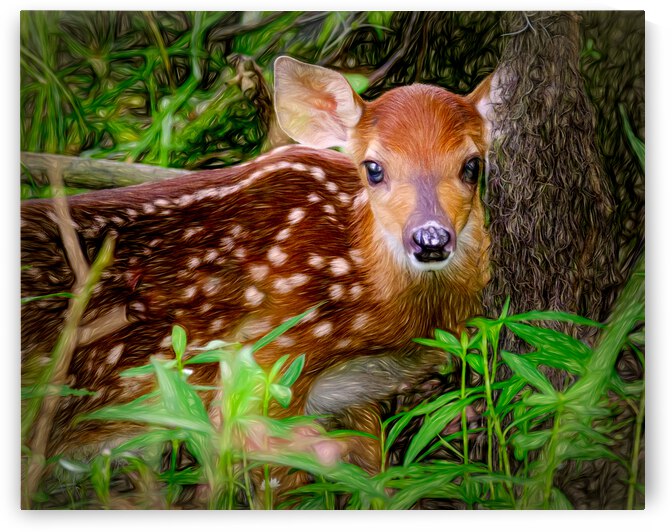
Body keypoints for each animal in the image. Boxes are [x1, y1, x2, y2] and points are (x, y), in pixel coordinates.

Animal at [21, 56, 497, 497]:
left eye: (472, 165)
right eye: (373, 168)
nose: (430, 238)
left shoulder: (356, 394)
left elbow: (375, 475)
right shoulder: (265, 365)